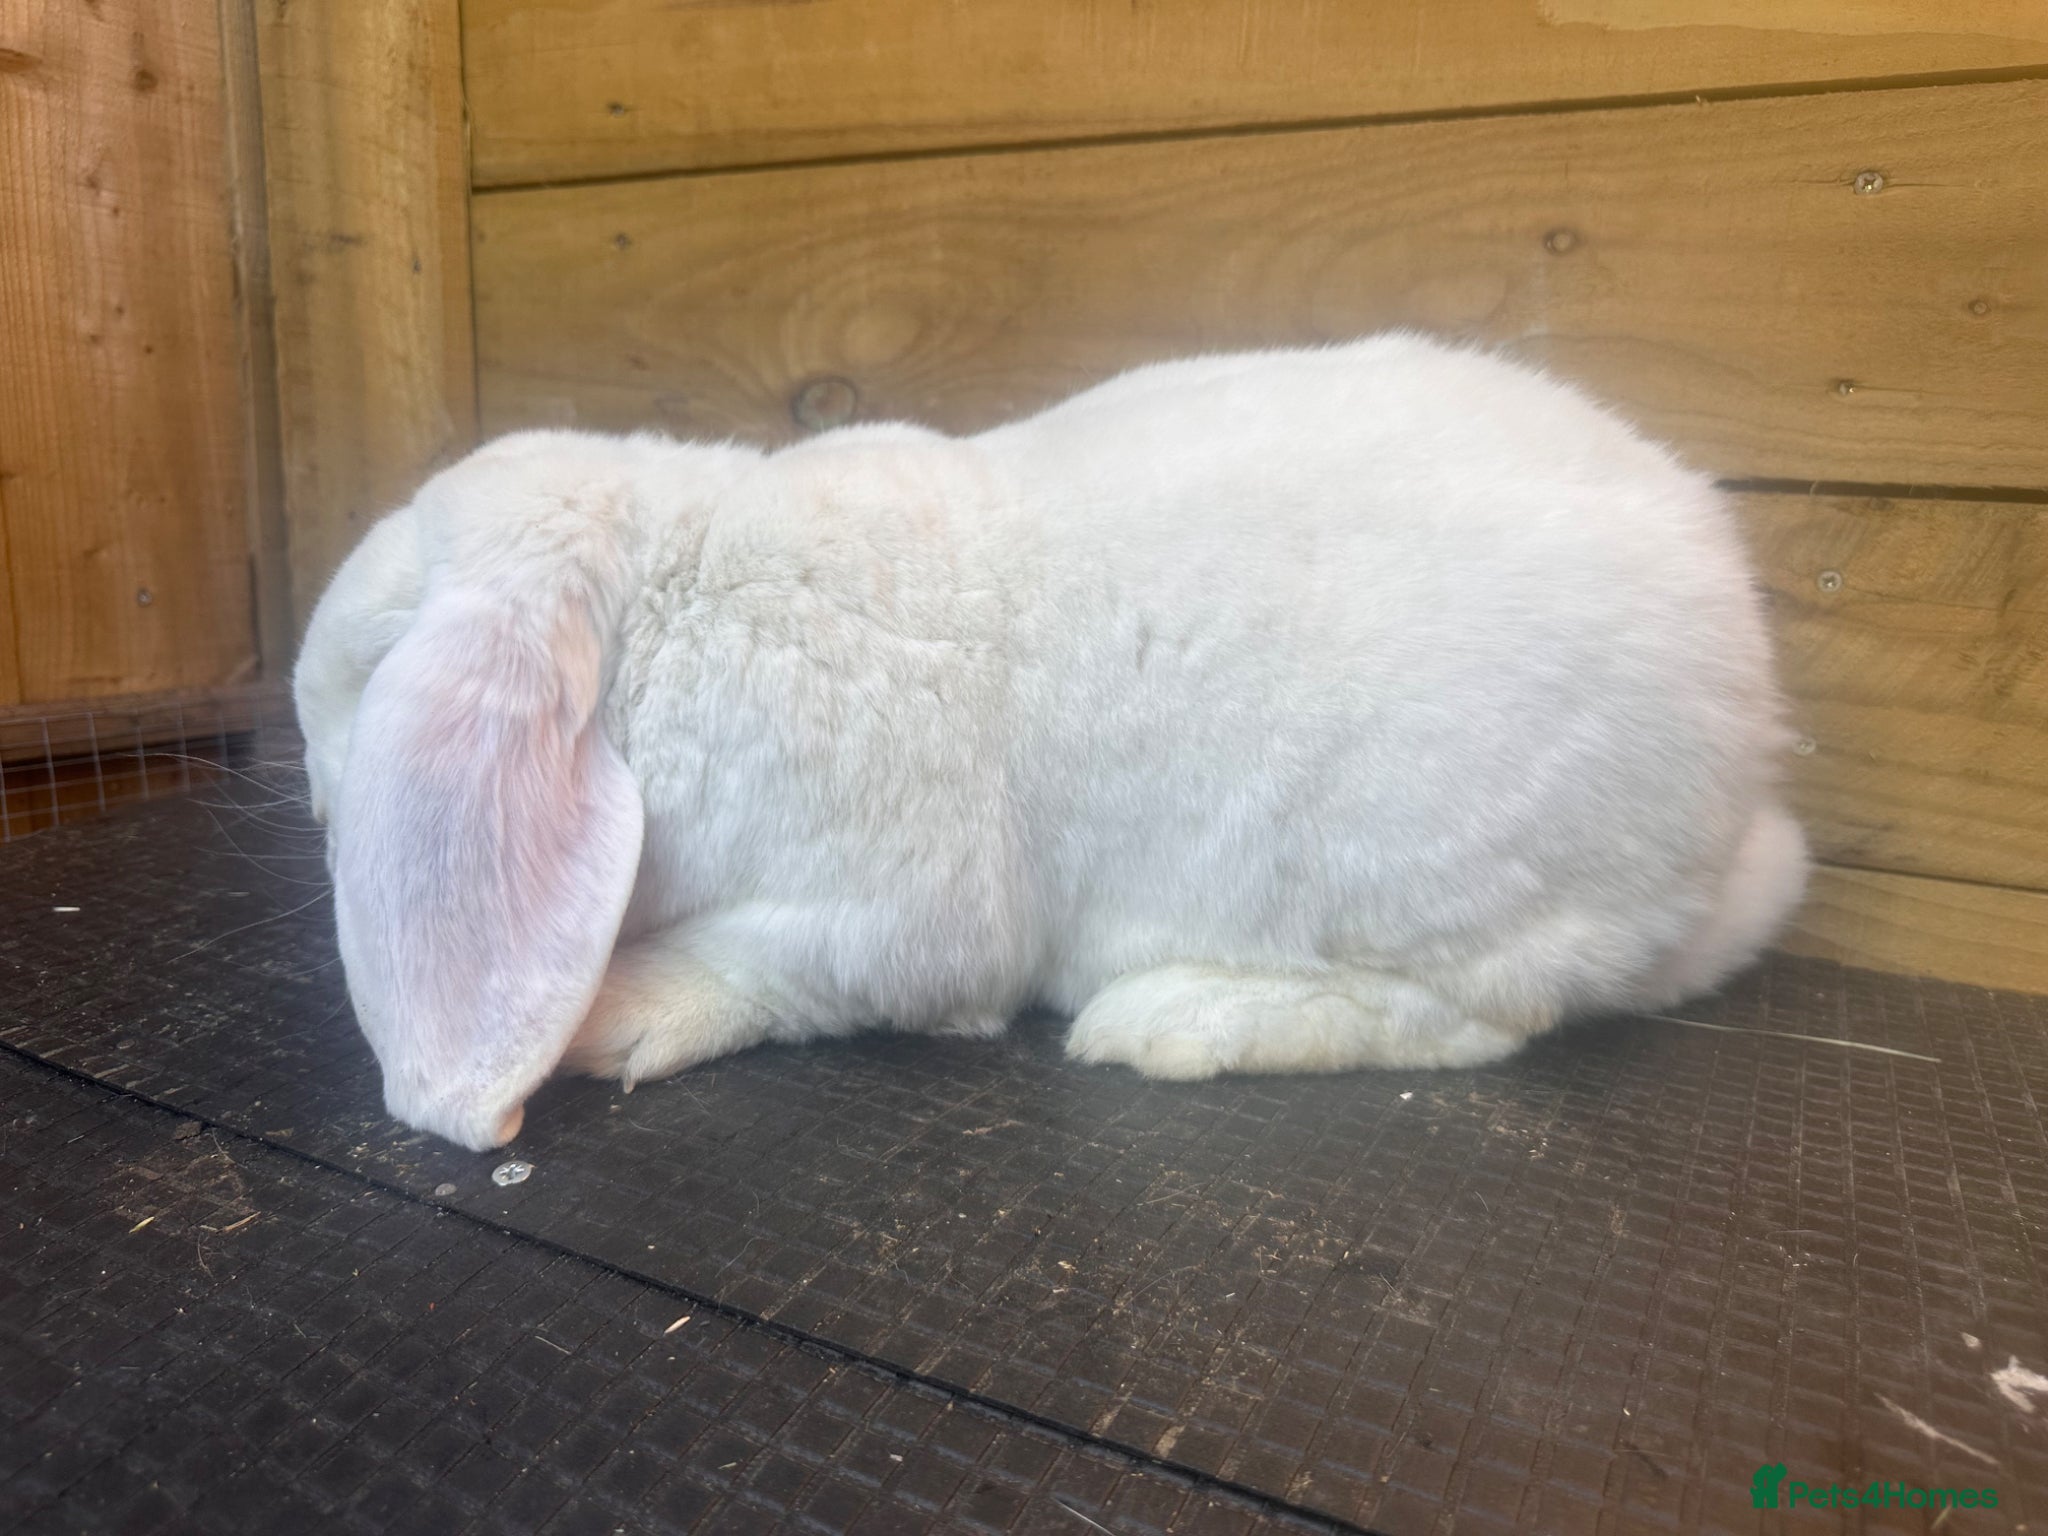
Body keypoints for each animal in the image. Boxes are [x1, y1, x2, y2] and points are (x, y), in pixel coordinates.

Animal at [294, 333, 1809, 1152]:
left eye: (366, 671)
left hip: (1419, 866)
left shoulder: (894, 919)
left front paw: (616, 1013)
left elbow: (768, 970)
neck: (673, 603)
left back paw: (1169, 1023)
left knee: (1488, 1020)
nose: (310, 789)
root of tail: (1743, 803)